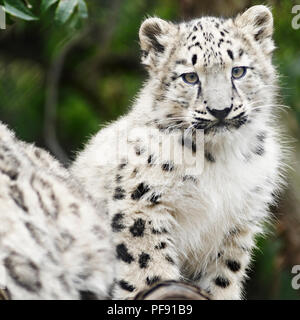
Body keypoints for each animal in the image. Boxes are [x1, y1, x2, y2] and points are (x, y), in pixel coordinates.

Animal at [71, 5, 284, 300]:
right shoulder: (141, 204)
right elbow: (148, 266)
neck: (218, 159)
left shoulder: (239, 223)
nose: (220, 110)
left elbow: (224, 276)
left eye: (238, 71)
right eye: (190, 77)